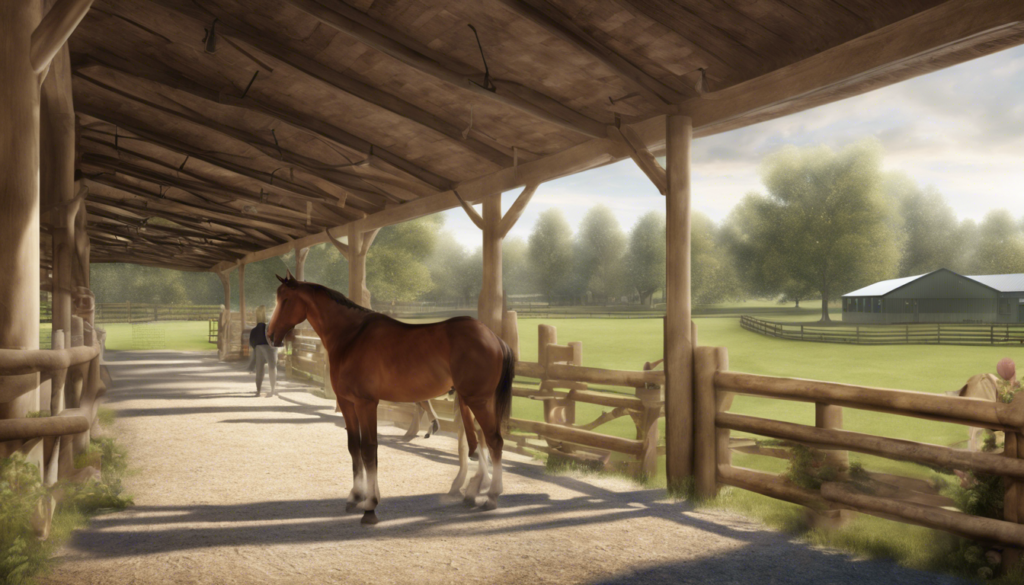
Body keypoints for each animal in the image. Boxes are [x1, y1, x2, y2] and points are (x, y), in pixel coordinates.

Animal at [266, 272, 514, 524]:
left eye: (285, 300)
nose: (270, 335)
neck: (350, 337)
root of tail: (494, 338)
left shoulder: (366, 404)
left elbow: (369, 449)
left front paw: (370, 506)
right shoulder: (347, 403)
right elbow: (354, 447)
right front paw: (356, 496)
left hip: (478, 401)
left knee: (493, 441)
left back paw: (491, 496)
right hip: (477, 401)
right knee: (480, 441)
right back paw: (475, 491)